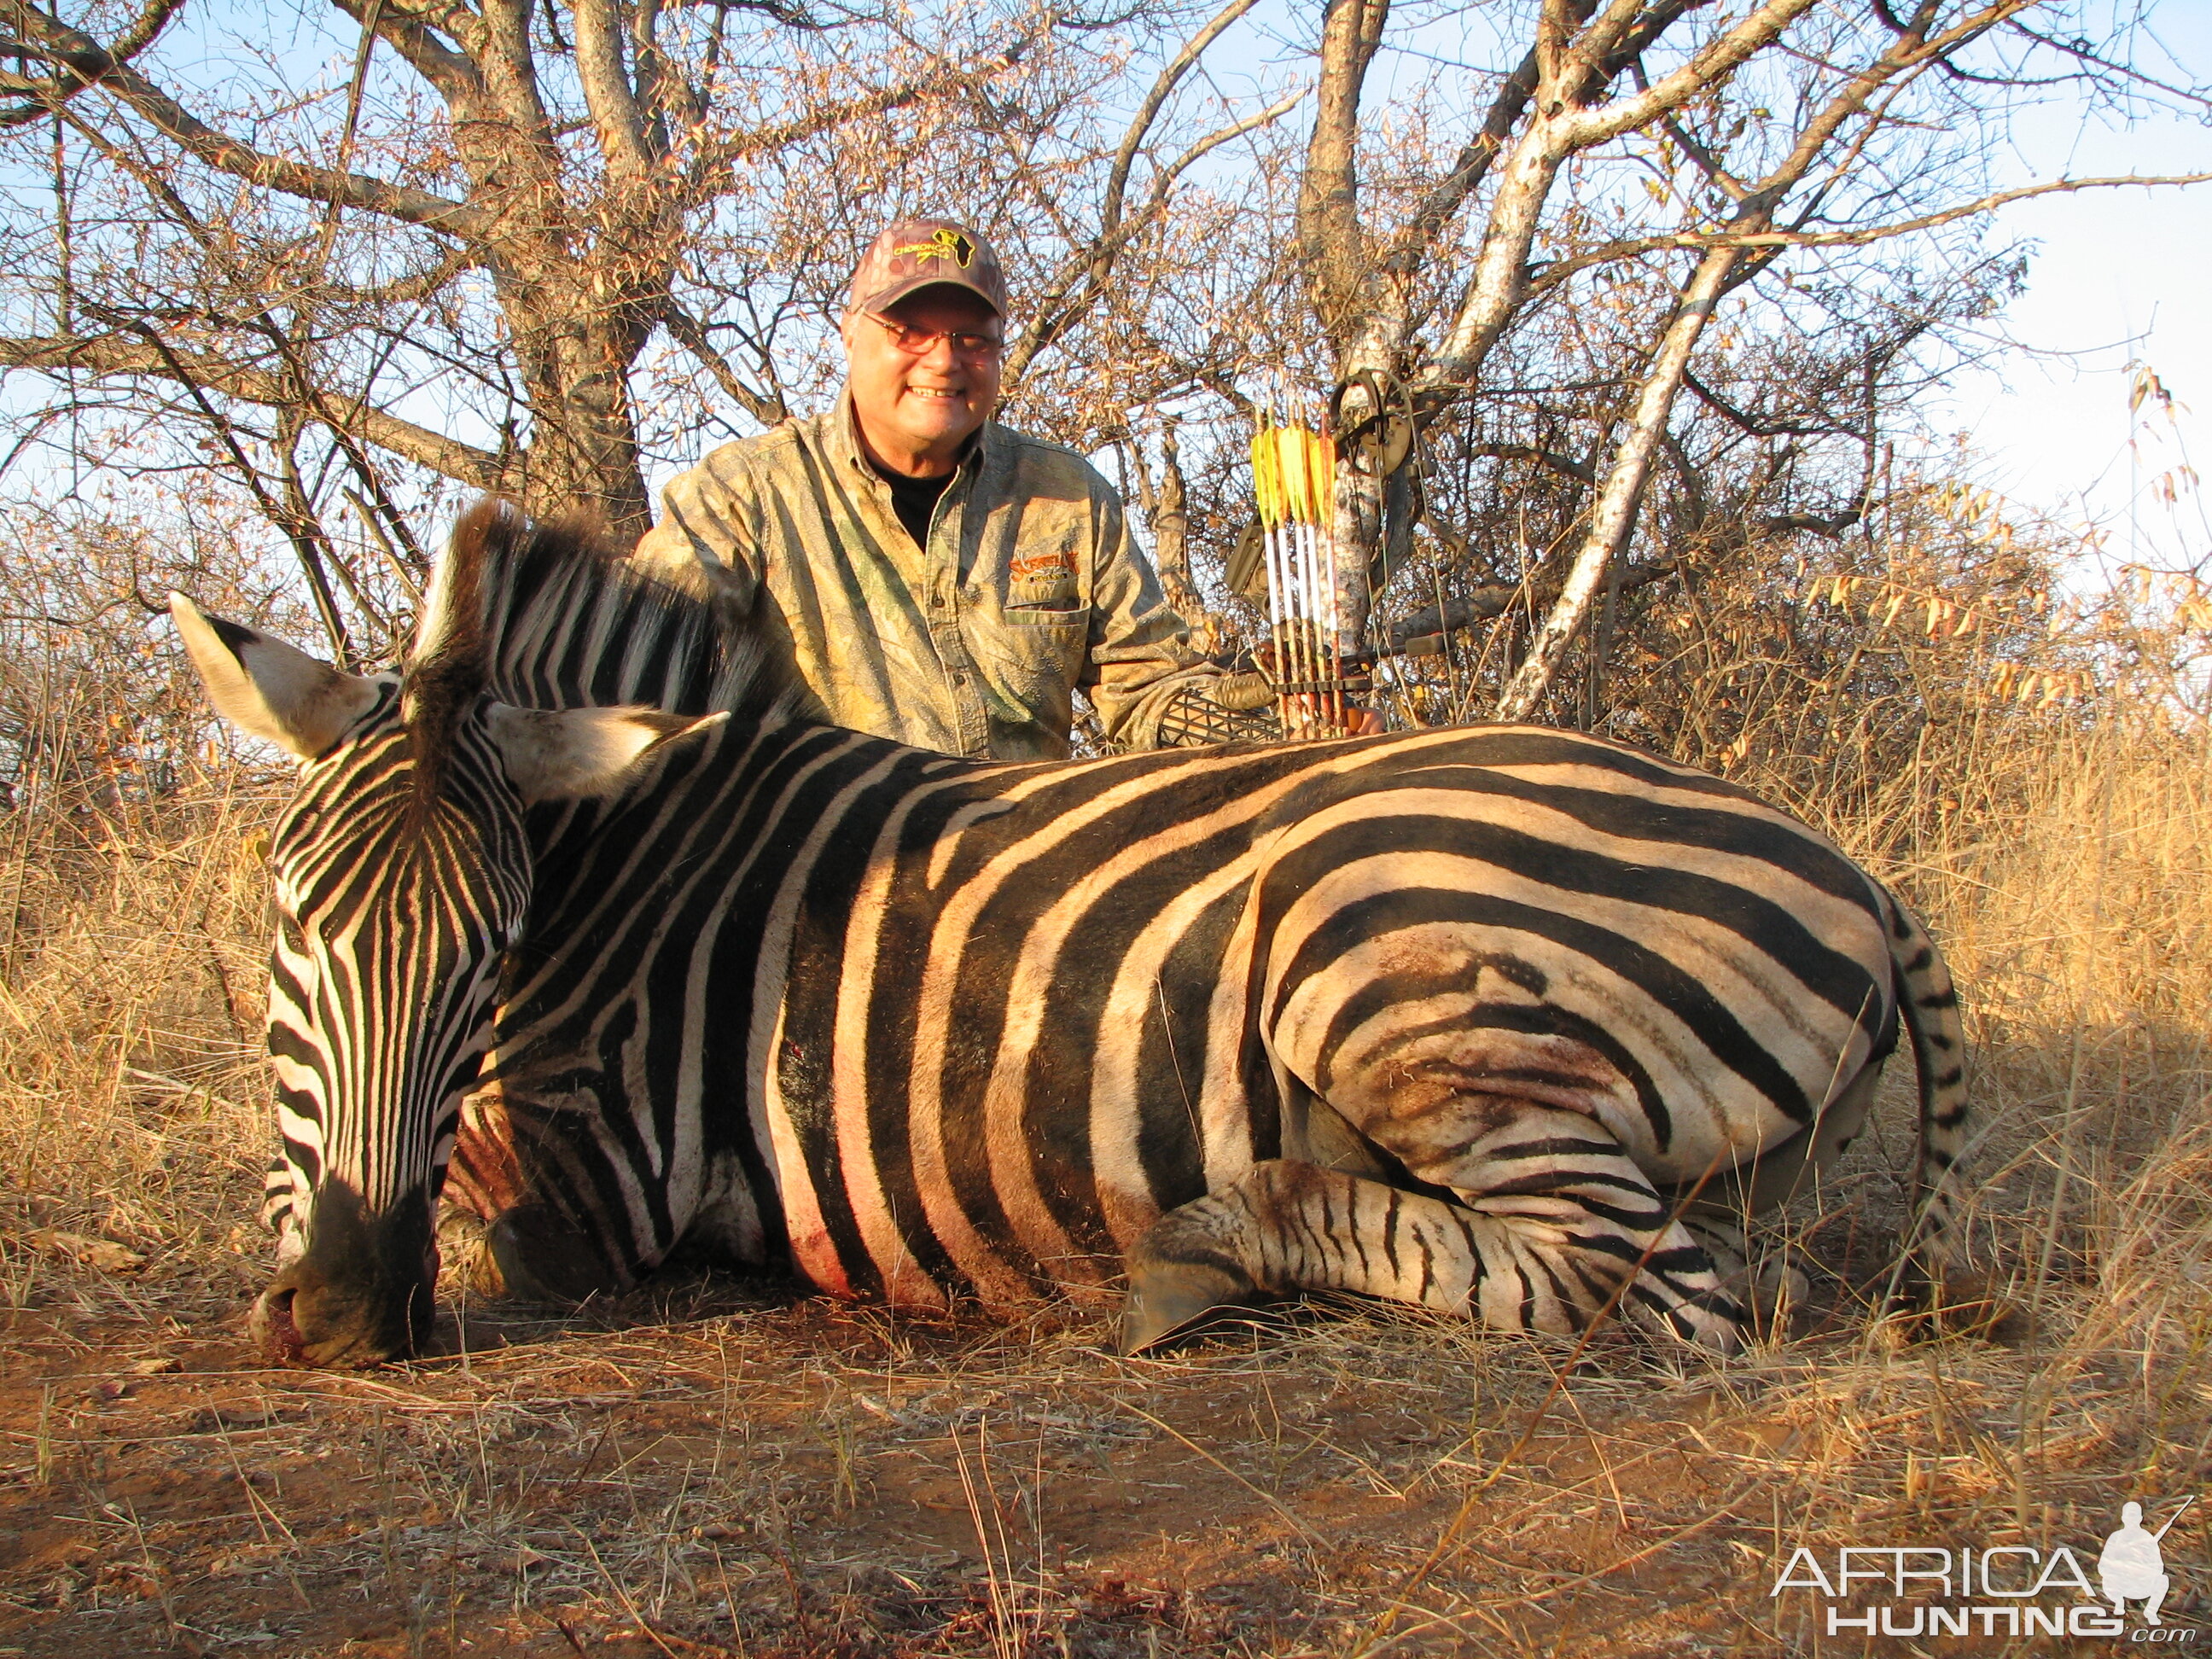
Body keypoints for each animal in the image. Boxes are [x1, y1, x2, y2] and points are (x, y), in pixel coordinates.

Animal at [177, 504, 1973, 1362]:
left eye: (490, 948)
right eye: (289, 930)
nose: (349, 1310)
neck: (635, 854)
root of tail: (1862, 870)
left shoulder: (601, 1165)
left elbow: (500, 1228)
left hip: (1373, 952)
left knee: (1649, 1289)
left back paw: (1207, 1249)